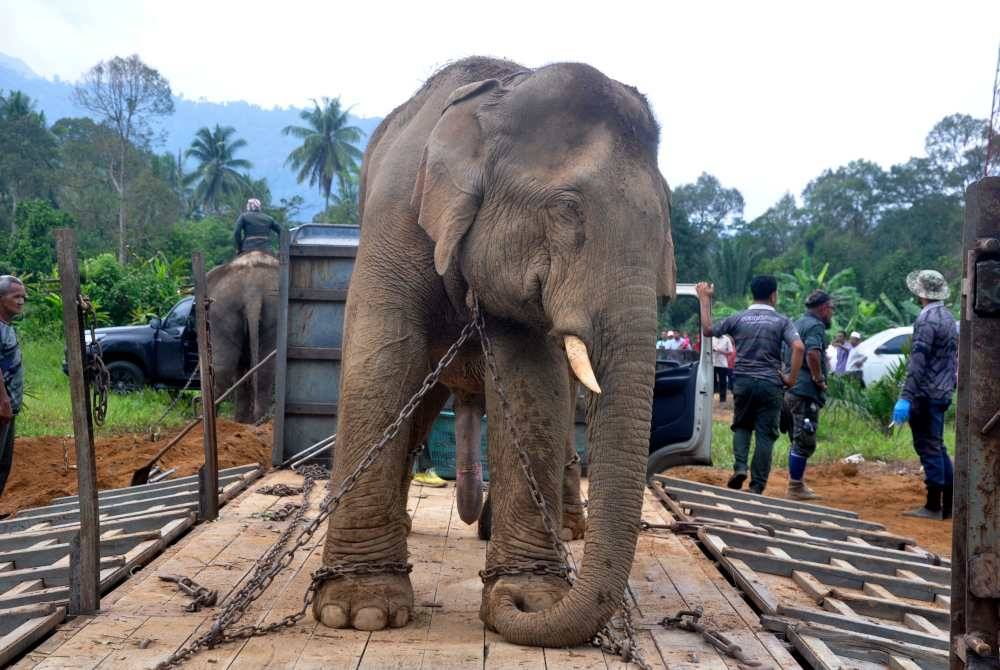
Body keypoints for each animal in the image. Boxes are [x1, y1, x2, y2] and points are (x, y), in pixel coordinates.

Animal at [314, 59, 672, 652]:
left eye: (664, 228)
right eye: (568, 209)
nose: (519, 607)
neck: (497, 96)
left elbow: (534, 385)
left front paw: (531, 599)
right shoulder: (395, 219)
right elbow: (380, 360)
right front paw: (359, 612)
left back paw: (557, 530)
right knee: (416, 404)